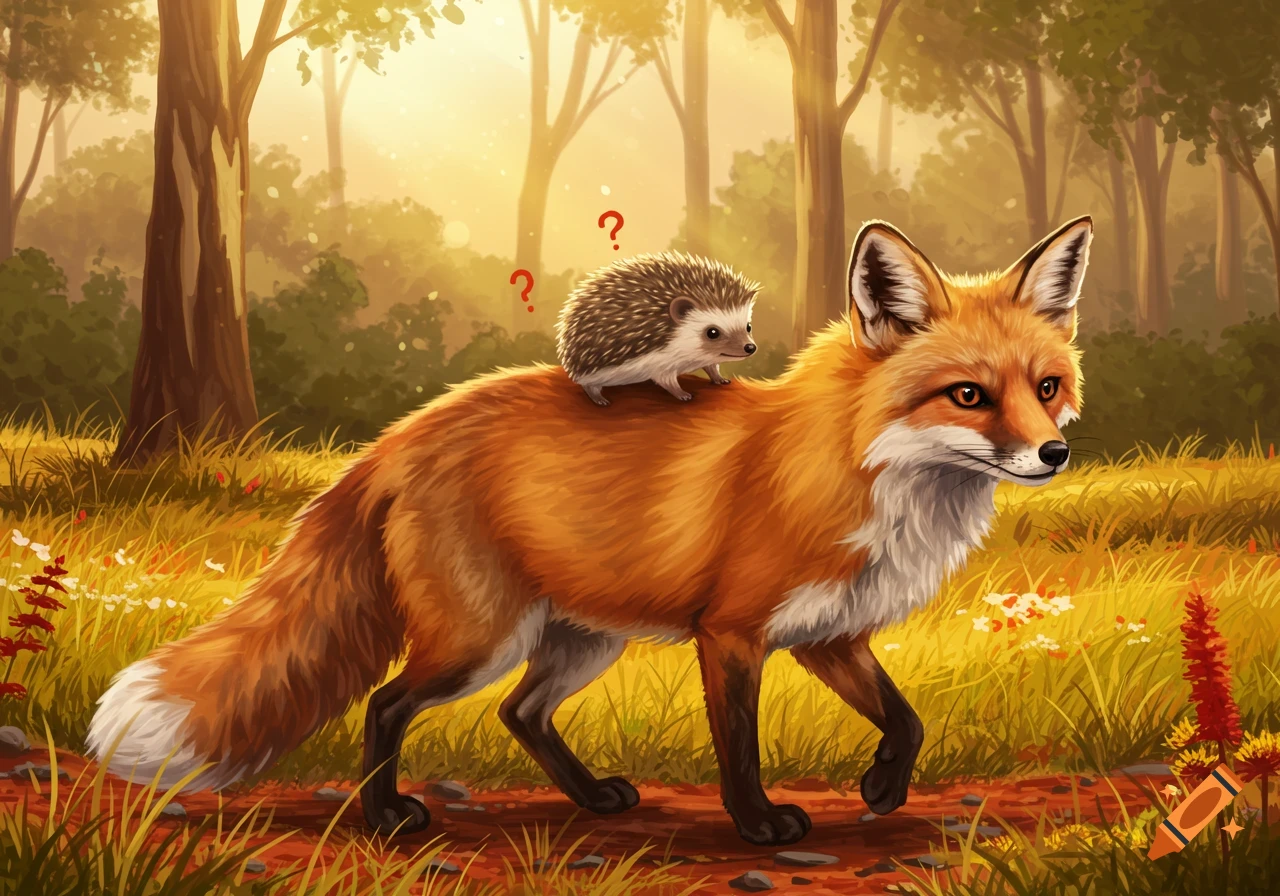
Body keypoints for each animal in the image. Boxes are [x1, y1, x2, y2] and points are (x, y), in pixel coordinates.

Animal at [87, 215, 1093, 846]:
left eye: (1045, 387)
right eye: (968, 395)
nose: (1053, 455)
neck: (860, 466)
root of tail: (404, 433)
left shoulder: (829, 633)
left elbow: (907, 718)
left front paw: (882, 789)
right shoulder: (733, 633)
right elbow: (739, 745)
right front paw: (759, 825)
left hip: (580, 639)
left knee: (519, 713)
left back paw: (594, 797)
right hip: (479, 639)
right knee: (385, 703)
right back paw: (385, 819)